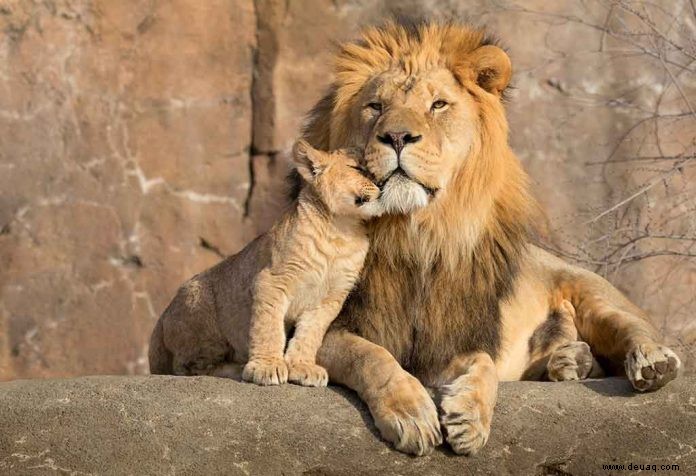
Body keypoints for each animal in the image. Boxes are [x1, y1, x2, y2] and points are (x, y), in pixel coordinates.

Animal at [304, 19, 680, 458]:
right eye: (375, 107)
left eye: (438, 105)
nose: (396, 136)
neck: (415, 234)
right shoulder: (323, 328)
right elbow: (371, 356)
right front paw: (411, 413)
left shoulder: (453, 337)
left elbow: (483, 363)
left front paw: (469, 418)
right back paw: (569, 361)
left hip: (593, 292)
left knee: (633, 328)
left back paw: (650, 363)